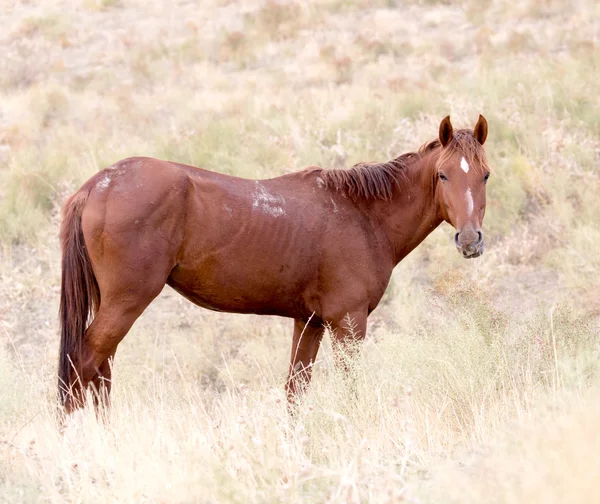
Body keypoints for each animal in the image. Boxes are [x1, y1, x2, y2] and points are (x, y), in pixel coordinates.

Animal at [58, 115, 492, 414]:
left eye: (485, 176)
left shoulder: (310, 323)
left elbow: (295, 392)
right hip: (126, 302)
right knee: (83, 365)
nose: (470, 240)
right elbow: (350, 390)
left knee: (99, 373)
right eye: (442, 175)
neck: (363, 215)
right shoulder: (348, 323)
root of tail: (97, 185)